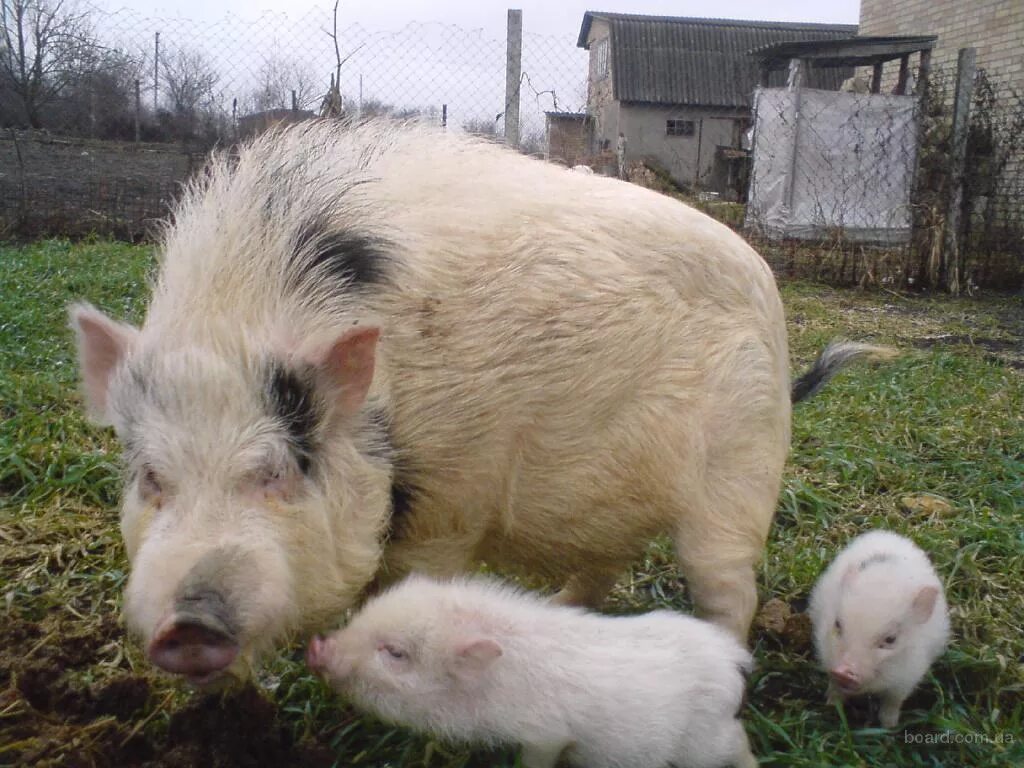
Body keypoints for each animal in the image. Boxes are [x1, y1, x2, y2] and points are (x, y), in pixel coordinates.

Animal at [72, 118, 888, 684]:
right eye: (150, 478)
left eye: (275, 471)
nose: (187, 623)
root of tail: (766, 284)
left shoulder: (453, 503)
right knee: (605, 566)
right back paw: (560, 616)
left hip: (740, 471)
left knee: (727, 588)